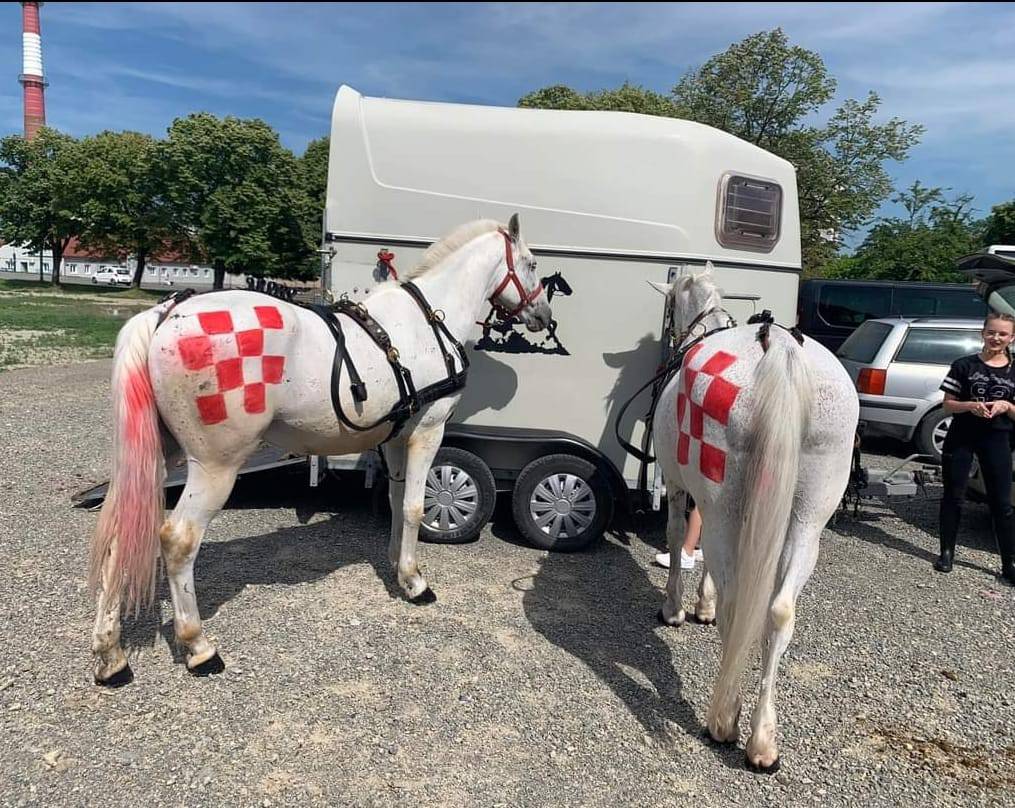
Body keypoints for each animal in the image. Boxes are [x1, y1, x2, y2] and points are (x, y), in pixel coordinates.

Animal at [89, 213, 548, 682]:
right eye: (531, 264)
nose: (543, 316)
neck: (429, 323)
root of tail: (166, 313)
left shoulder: (397, 437)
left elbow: (396, 500)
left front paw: (398, 568)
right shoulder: (428, 431)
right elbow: (415, 506)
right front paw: (416, 583)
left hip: (154, 458)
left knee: (116, 533)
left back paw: (111, 654)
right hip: (215, 465)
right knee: (178, 540)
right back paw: (199, 647)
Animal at [649, 265, 856, 771]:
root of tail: (779, 348)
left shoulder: (681, 485)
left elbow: (680, 535)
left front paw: (677, 608)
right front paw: (699, 605)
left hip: (727, 506)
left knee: (736, 602)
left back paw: (724, 718)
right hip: (808, 519)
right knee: (779, 611)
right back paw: (763, 738)